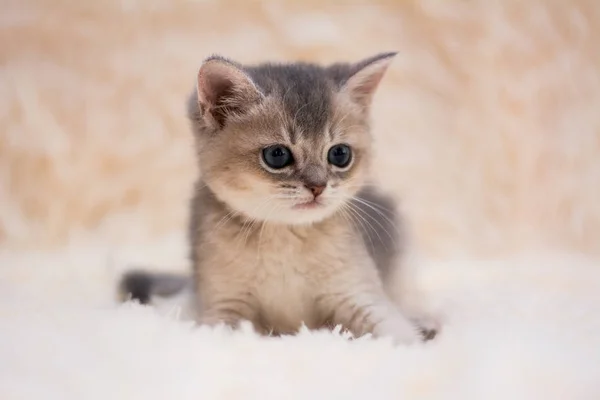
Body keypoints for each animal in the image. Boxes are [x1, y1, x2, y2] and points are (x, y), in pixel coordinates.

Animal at [118, 52, 436, 344]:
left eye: (340, 154)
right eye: (277, 155)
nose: (318, 186)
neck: (284, 237)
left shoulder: (360, 296)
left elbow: (398, 335)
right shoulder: (224, 307)